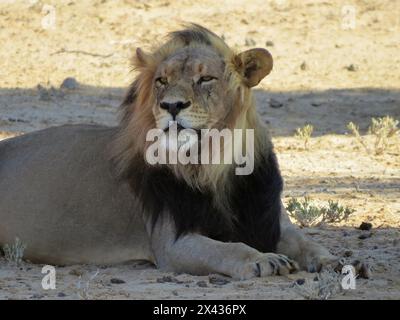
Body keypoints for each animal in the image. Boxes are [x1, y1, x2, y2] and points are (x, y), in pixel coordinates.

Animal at [0, 25, 338, 280]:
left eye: (205, 79)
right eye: (162, 81)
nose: (171, 105)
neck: (214, 164)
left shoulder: (272, 221)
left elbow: (306, 242)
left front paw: (332, 261)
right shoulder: (172, 243)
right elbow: (228, 249)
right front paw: (264, 260)